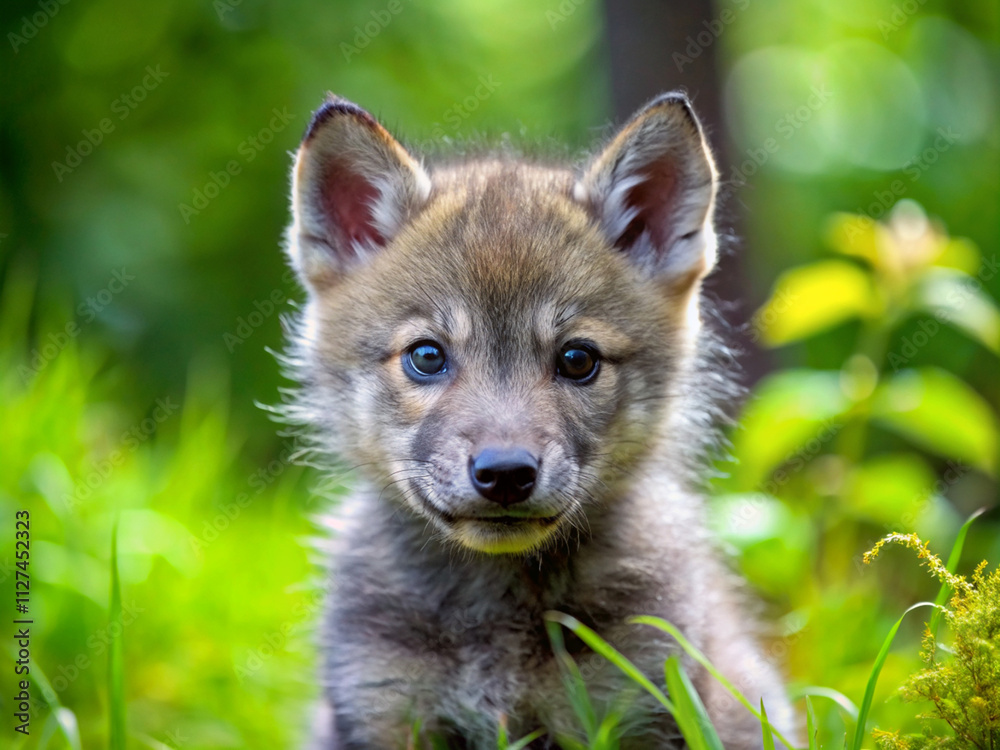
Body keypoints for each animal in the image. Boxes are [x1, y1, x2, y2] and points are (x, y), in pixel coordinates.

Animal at [280, 92, 795, 748]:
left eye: (577, 359)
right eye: (427, 356)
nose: (505, 474)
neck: (493, 612)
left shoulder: (632, 704)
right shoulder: (384, 709)